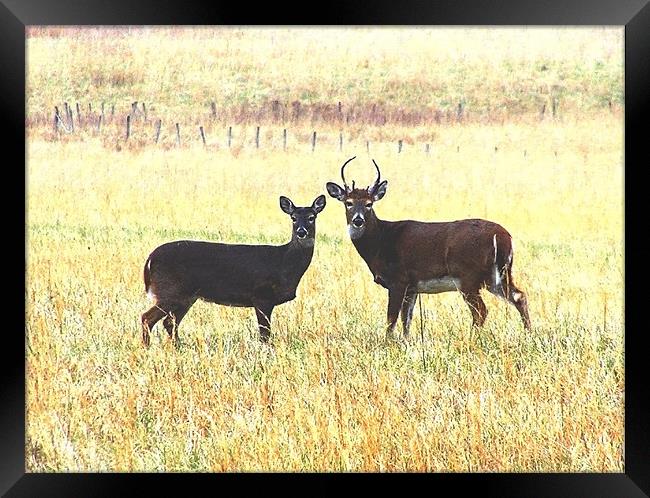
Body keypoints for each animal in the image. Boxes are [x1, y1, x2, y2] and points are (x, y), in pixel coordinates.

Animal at [140, 195, 326, 346]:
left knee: (169, 322)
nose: (301, 232)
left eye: (311, 217)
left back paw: (178, 347)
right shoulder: (262, 296)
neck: (284, 263)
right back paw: (147, 348)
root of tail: (149, 259)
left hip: (186, 296)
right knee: (147, 318)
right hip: (170, 291)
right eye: (293, 218)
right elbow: (264, 334)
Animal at [326, 158, 528, 340]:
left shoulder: (398, 280)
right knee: (519, 296)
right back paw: (528, 334)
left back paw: (472, 339)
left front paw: (388, 343)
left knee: (481, 311)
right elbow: (406, 319)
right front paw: (406, 342)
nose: (358, 220)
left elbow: (391, 319)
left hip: (468, 276)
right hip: (498, 274)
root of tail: (504, 237)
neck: (380, 241)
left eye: (369, 204)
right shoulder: (412, 287)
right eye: (348, 202)